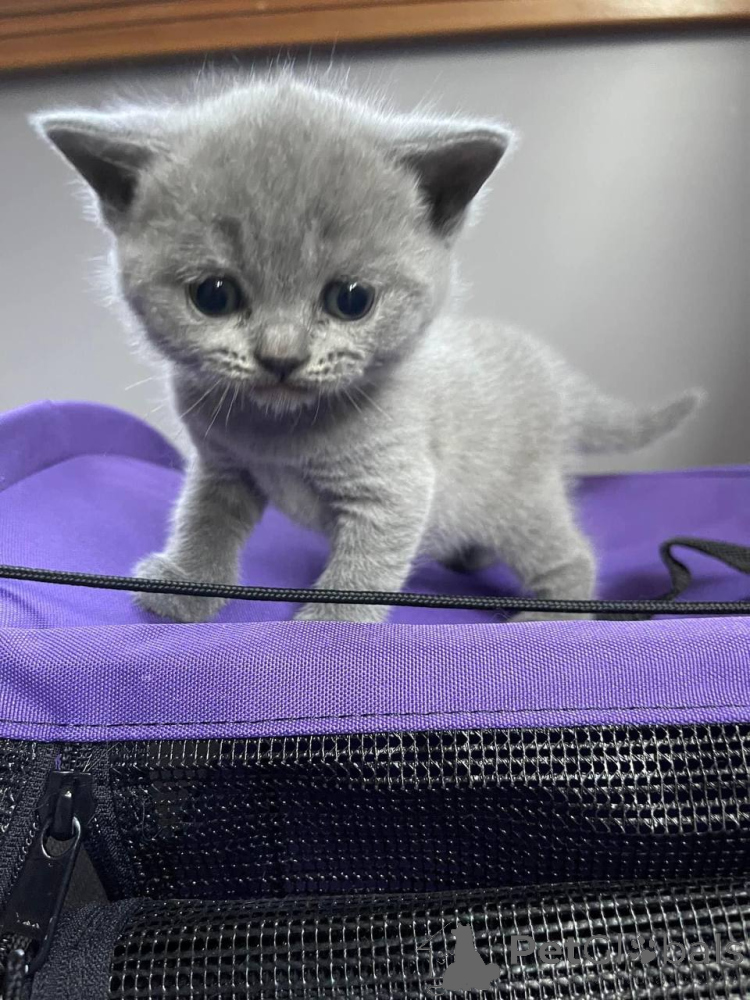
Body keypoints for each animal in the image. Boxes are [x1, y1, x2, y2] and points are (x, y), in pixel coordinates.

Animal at [33, 75, 701, 623]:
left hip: (519, 495)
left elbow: (366, 566)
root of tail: (556, 376)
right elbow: (203, 521)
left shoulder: (394, 485)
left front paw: (332, 625)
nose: (281, 355)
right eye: (213, 295)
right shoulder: (221, 465)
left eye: (351, 300)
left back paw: (552, 617)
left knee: (571, 556)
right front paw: (184, 586)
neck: (278, 434)